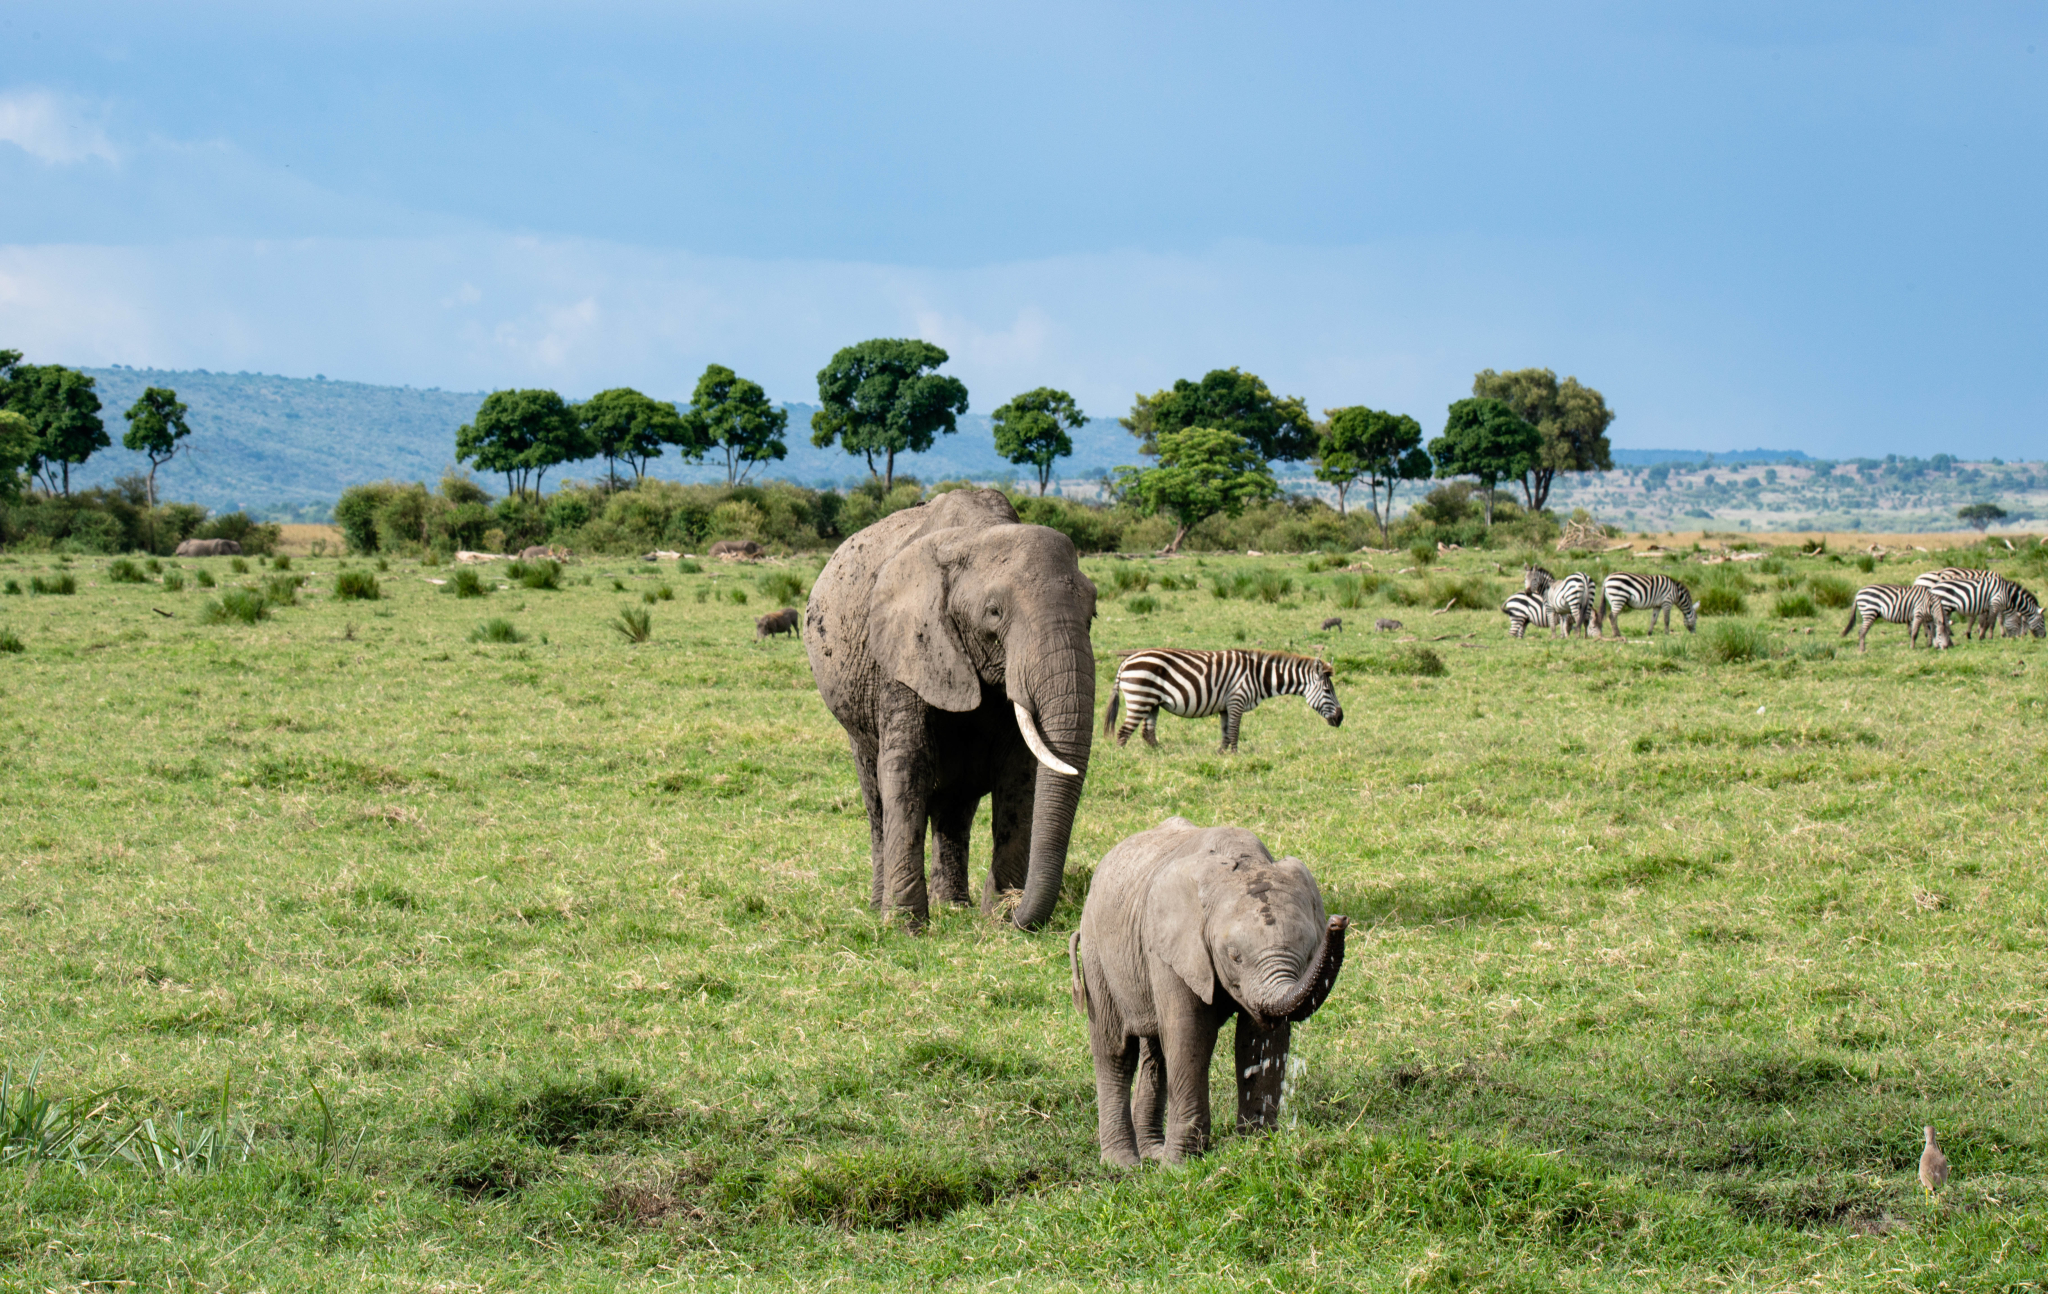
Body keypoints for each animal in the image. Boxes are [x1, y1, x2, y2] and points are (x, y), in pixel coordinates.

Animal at [802, 487, 1105, 929]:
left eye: (1093, 613)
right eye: (993, 613)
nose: (1016, 912)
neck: (975, 535)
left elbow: (1019, 774)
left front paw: (997, 913)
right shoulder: (902, 653)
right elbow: (907, 767)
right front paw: (905, 926)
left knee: (957, 805)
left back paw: (954, 905)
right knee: (875, 797)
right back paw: (881, 906)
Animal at [1073, 823, 1343, 1171]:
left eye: (1309, 951)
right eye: (1235, 956)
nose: (1339, 921)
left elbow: (1258, 1039)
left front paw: (1257, 1146)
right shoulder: (1172, 948)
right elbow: (1190, 1036)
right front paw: (1179, 1167)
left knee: (1155, 1055)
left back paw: (1152, 1152)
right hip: (1097, 954)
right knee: (1115, 1052)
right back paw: (1124, 1165)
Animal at [1105, 651, 1343, 753]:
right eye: (1327, 690)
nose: (1341, 718)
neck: (1258, 676)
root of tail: (1127, 660)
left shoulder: (1225, 706)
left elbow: (1225, 732)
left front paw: (1221, 754)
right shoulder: (1237, 699)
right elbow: (1235, 731)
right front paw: (1236, 756)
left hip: (1152, 702)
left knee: (1148, 733)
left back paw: (1162, 754)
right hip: (1140, 697)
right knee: (1124, 732)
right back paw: (1123, 758)